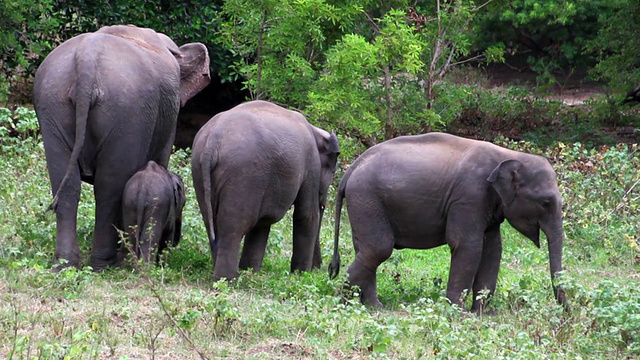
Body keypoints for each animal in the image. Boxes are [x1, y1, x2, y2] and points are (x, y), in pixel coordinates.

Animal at [33, 24, 210, 270]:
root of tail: (87, 60)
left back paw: (66, 265)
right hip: (128, 112)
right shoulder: (169, 115)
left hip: (53, 104)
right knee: (110, 187)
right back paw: (106, 264)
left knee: (68, 185)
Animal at [190, 99, 340, 282]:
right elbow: (306, 215)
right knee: (233, 227)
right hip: (243, 174)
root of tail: (213, 141)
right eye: (333, 171)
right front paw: (301, 276)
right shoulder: (311, 164)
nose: (321, 269)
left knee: (212, 223)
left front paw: (251, 271)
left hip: (199, 170)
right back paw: (228, 280)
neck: (315, 130)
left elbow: (263, 223)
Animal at [330, 132, 568, 312]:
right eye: (546, 202)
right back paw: (343, 301)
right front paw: (459, 312)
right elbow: (468, 246)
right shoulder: (469, 197)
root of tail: (351, 169)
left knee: (366, 249)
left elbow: (493, 250)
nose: (567, 312)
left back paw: (372, 307)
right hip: (367, 198)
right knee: (378, 248)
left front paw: (480, 314)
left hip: (364, 203)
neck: (508, 155)